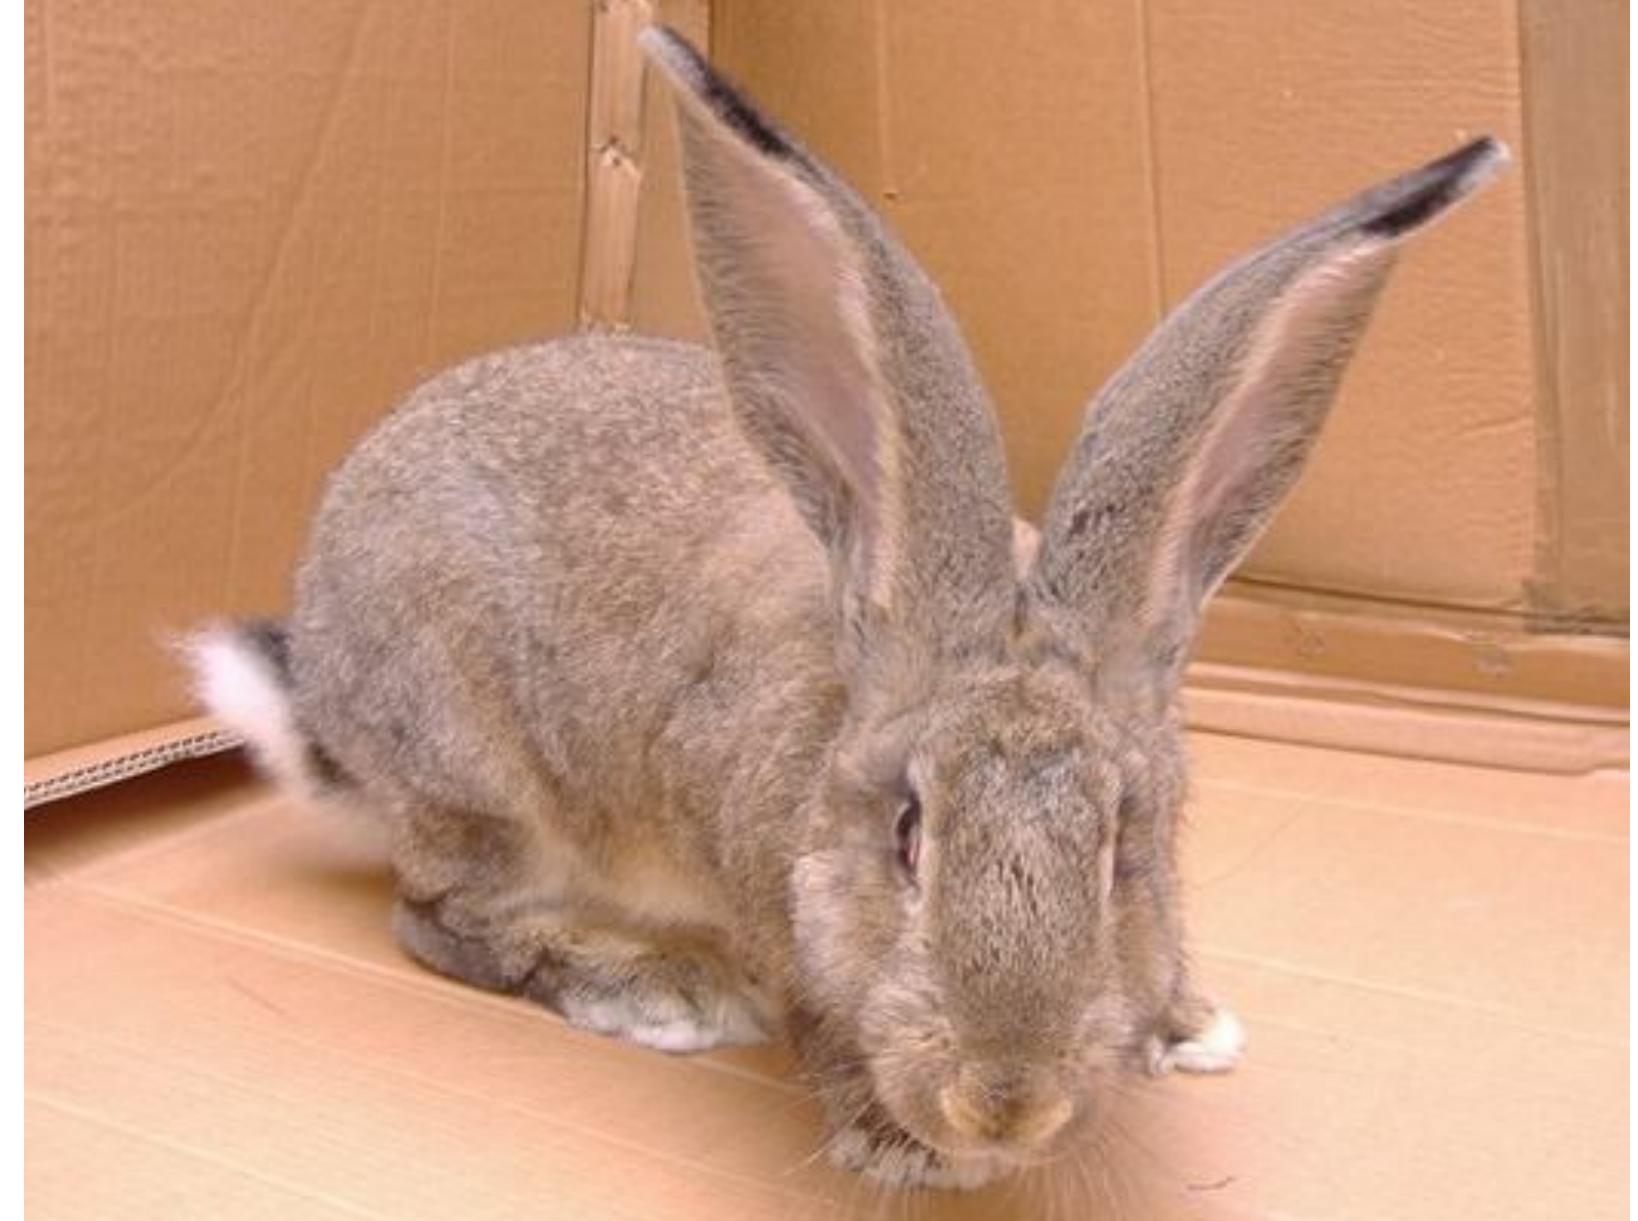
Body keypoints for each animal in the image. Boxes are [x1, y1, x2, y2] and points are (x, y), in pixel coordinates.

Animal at [188, 25, 1507, 1190]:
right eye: (906, 836)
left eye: (1120, 850)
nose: (1005, 1099)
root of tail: (325, 699)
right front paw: (905, 1147)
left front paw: (1191, 1024)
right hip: (481, 777)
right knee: (436, 919)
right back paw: (656, 987)